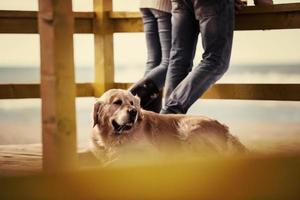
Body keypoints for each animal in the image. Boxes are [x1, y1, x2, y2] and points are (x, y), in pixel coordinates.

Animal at [91, 88, 246, 162]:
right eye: (117, 102)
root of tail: (225, 129)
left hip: (187, 128)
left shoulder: (150, 152)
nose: (133, 111)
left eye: (132, 103)